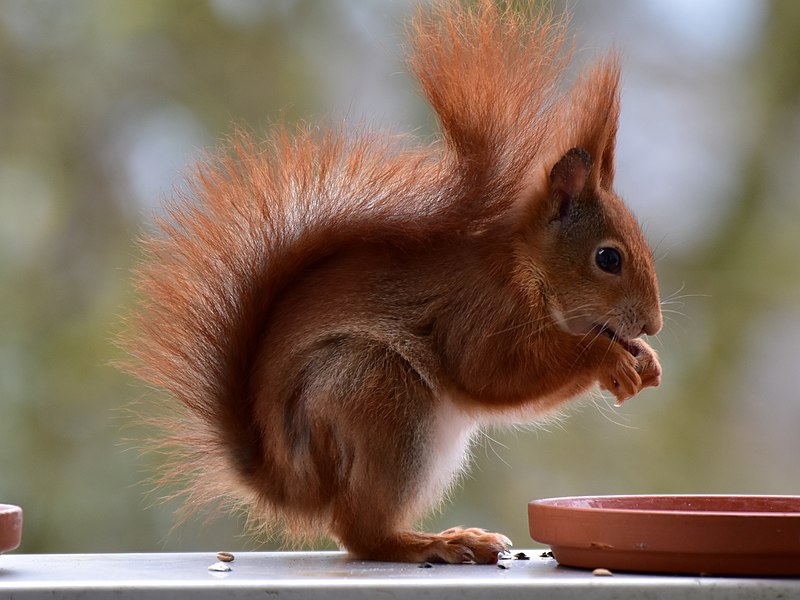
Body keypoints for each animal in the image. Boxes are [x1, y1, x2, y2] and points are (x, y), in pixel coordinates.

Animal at [123, 1, 664, 564]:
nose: (653, 325)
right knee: (363, 534)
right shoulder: (478, 312)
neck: (528, 271)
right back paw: (438, 542)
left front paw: (645, 363)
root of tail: (293, 480)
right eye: (608, 258)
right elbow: (495, 372)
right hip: (379, 395)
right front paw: (605, 359)